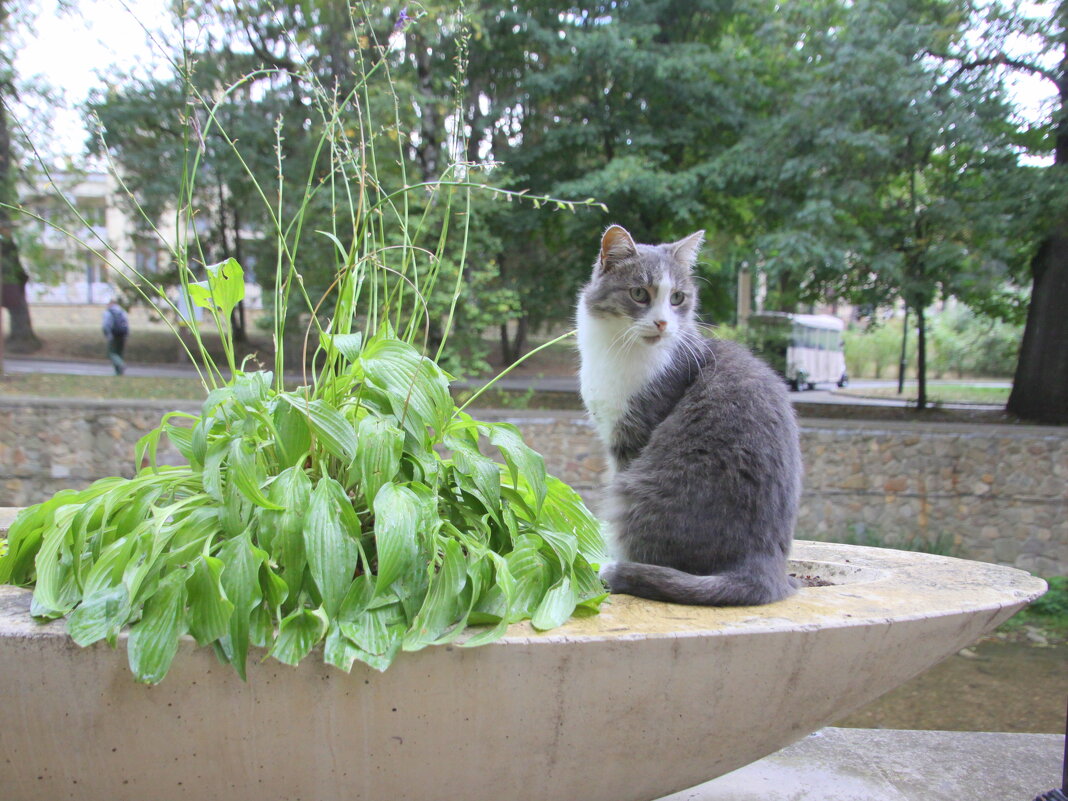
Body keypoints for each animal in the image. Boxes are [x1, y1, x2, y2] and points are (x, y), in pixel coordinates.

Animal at [576, 223, 803, 606]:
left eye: (678, 298)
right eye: (640, 293)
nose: (663, 323)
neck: (616, 349)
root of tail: (763, 566)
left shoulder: (632, 436)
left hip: (639, 489)